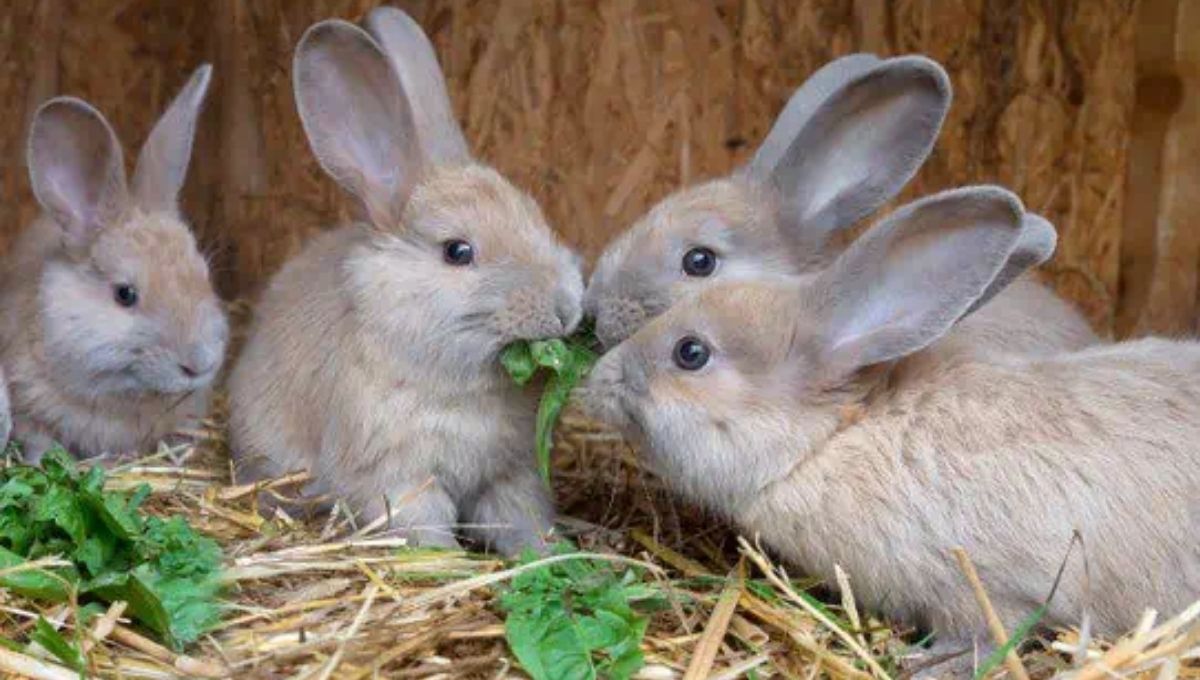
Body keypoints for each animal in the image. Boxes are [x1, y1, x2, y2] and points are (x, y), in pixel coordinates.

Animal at [227, 9, 583, 556]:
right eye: (458, 252)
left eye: (535, 216)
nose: (566, 307)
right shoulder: (399, 476)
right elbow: (424, 524)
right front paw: (447, 560)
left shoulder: (510, 475)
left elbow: (521, 520)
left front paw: (550, 554)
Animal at [575, 185, 1200, 667]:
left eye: (691, 353)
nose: (598, 378)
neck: (829, 439)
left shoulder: (984, 586)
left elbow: (992, 629)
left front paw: (929, 664)